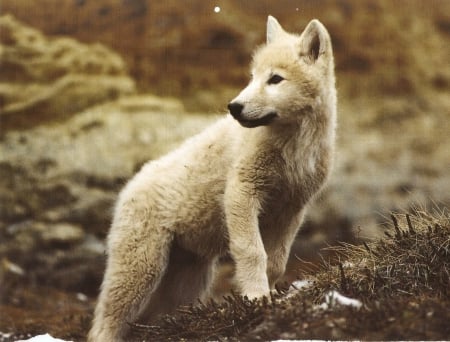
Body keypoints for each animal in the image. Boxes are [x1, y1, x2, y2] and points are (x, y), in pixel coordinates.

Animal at [89, 16, 334, 342]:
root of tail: (130, 185)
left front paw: (265, 298)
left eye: (275, 79)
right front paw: (255, 298)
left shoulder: (292, 209)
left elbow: (277, 262)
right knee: (107, 320)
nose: (235, 107)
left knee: (153, 315)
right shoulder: (242, 192)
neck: (294, 145)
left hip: (187, 280)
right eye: (252, 77)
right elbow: (252, 251)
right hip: (141, 268)